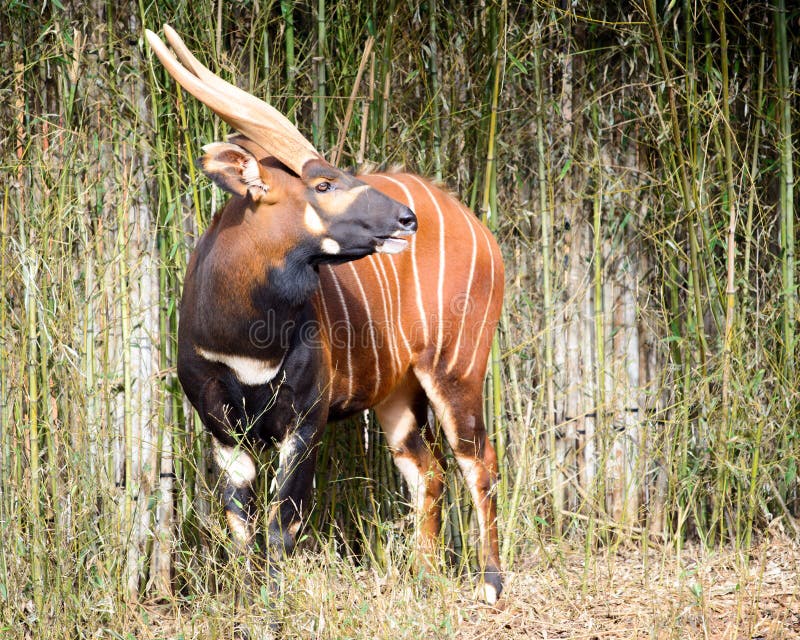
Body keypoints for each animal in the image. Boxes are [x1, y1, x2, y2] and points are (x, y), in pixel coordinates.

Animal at [145, 26, 505, 604]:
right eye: (323, 185)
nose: (407, 220)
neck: (246, 343)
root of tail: (478, 226)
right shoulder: (222, 429)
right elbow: (242, 522)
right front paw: (251, 598)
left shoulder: (306, 418)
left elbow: (282, 522)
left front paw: (275, 604)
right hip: (397, 393)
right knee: (426, 470)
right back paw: (424, 576)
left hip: (457, 369)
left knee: (478, 460)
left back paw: (490, 582)